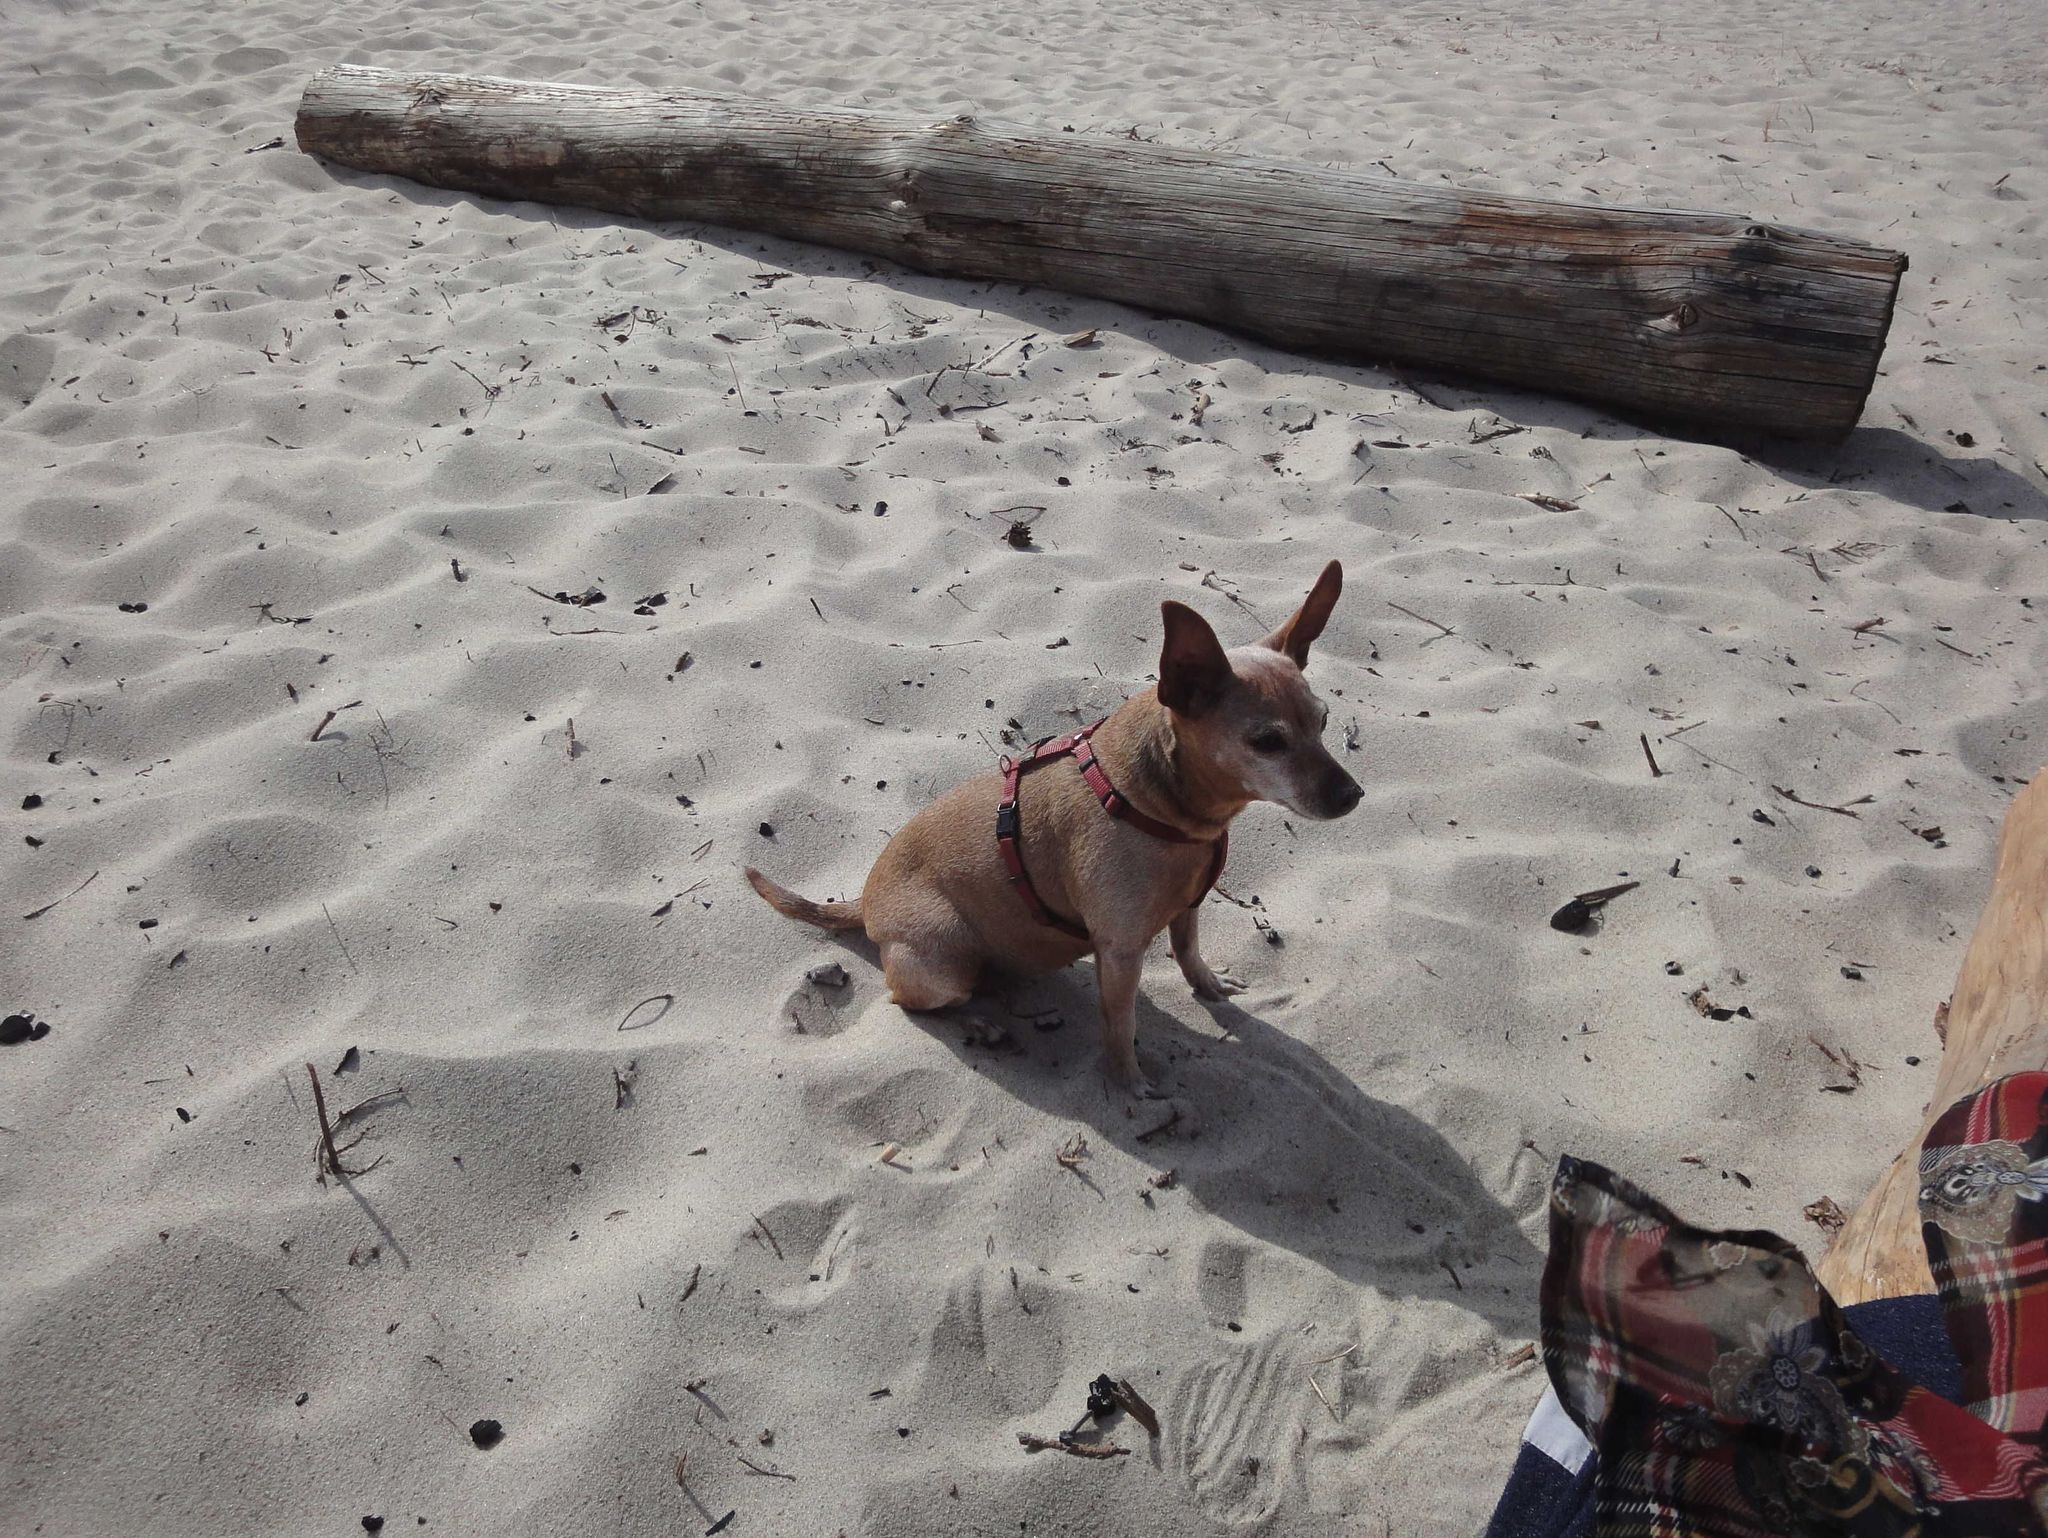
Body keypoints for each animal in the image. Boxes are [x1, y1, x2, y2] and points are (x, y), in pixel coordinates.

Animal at [749, 561, 1359, 1097]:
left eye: (1324, 722)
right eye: (1267, 742)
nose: (1353, 795)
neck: (1156, 803)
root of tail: (865, 902)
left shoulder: (1187, 908)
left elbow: (1188, 951)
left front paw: (1207, 987)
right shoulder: (1120, 954)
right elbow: (1119, 1025)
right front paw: (1128, 1081)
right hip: (942, 961)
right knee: (912, 1002)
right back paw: (976, 1021)